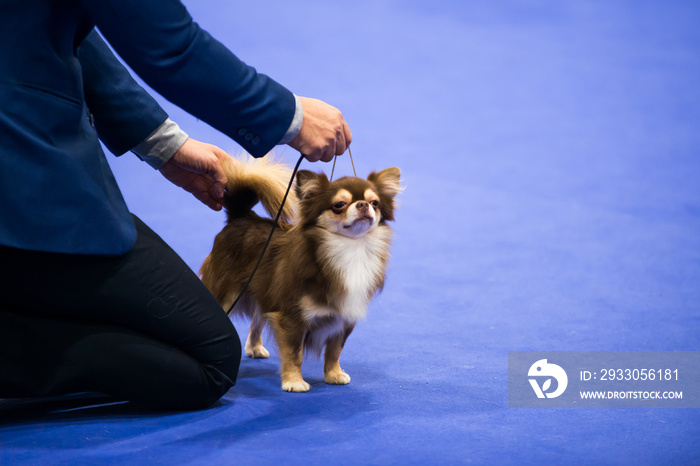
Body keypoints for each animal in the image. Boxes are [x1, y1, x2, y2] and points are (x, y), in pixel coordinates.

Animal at [200, 157, 402, 394]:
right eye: (339, 205)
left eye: (375, 203)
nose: (363, 205)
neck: (350, 249)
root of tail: (241, 216)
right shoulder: (292, 318)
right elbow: (294, 352)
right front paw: (294, 381)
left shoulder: (344, 318)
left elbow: (334, 351)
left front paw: (334, 375)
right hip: (226, 294)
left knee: (258, 318)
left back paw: (255, 348)